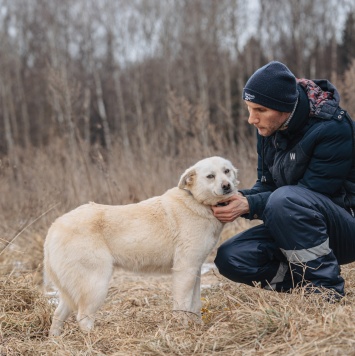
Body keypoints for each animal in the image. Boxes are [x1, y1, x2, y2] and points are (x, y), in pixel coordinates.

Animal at [44, 154, 239, 336]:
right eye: (210, 176)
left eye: (226, 171)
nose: (227, 186)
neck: (197, 202)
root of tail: (54, 227)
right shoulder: (184, 269)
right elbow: (182, 305)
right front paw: (182, 330)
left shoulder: (195, 268)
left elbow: (195, 304)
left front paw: (197, 326)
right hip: (95, 284)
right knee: (83, 317)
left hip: (71, 290)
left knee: (58, 315)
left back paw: (55, 339)